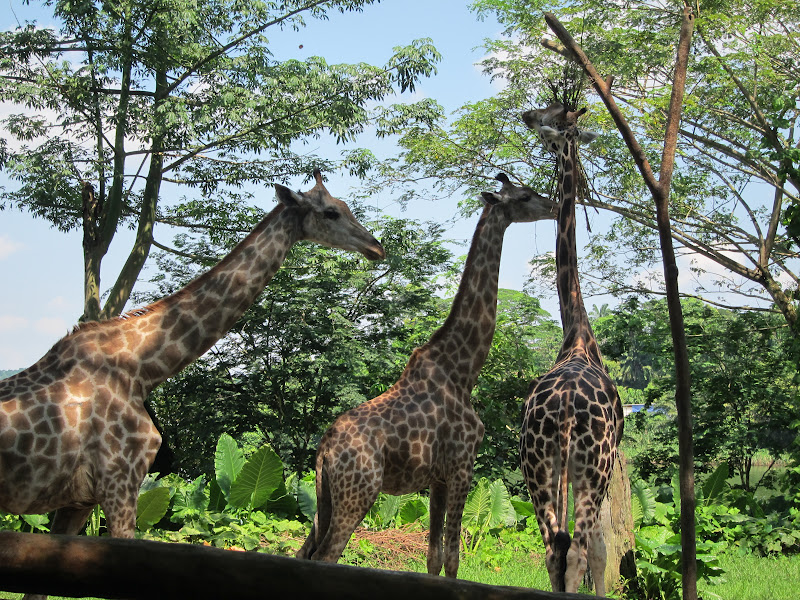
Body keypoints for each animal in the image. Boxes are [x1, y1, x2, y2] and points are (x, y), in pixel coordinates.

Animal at [0, 169, 384, 600]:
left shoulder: (78, 503)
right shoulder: (120, 484)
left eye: (347, 206)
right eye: (331, 212)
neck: (142, 368)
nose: (377, 247)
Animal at [296, 172, 560, 576]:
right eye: (525, 196)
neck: (463, 370)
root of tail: (325, 449)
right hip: (358, 493)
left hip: (323, 497)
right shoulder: (462, 466)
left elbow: (433, 557)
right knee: (327, 554)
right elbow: (452, 557)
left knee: (303, 552)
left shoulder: (437, 478)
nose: (556, 205)